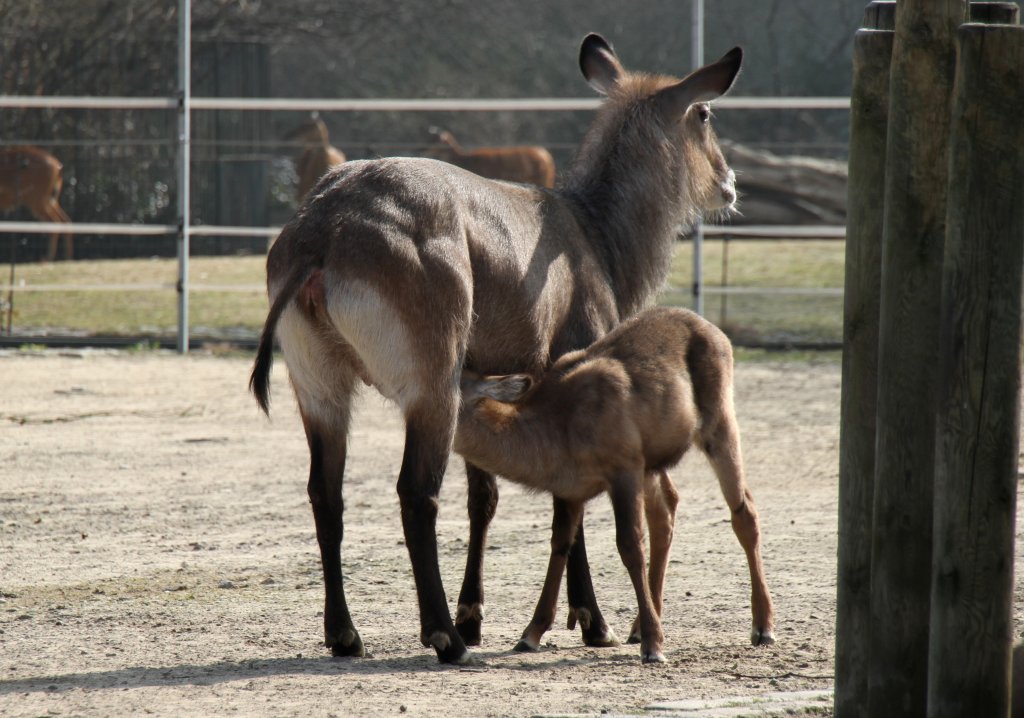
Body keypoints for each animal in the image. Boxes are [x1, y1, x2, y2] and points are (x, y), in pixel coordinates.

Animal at [425, 128, 557, 187]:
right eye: (429, 139)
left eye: (434, 141)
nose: (423, 149)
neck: (465, 160)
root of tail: (548, 157)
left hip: (543, 179)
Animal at [456, 305, 774, 663]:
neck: (559, 419)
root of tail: (711, 329)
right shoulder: (570, 491)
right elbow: (559, 544)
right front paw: (531, 634)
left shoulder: (624, 472)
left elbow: (630, 546)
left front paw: (654, 646)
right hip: (653, 466)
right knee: (665, 513)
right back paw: (638, 627)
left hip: (717, 427)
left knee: (744, 511)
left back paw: (762, 627)